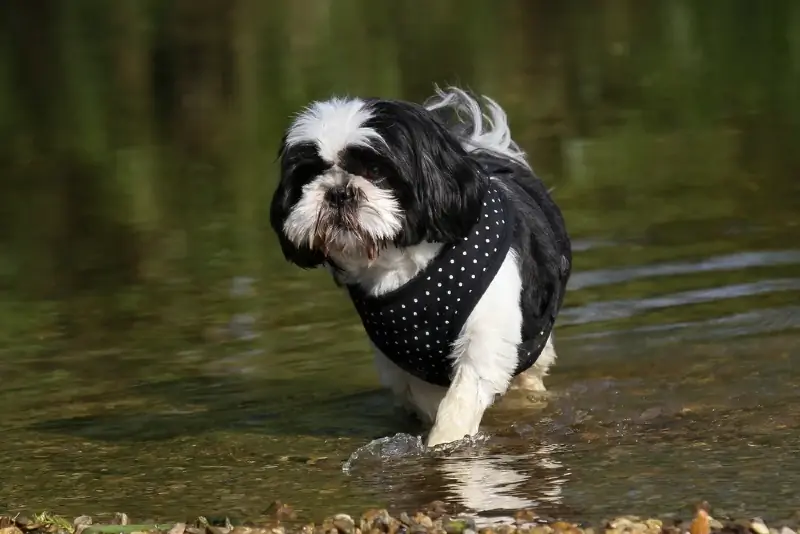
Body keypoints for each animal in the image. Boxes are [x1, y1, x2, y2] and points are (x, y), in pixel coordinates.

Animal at [272, 88, 572, 448]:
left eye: (375, 170)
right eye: (308, 175)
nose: (338, 192)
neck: (404, 264)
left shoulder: (486, 338)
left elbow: (461, 398)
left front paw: (445, 444)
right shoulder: (404, 365)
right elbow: (428, 400)